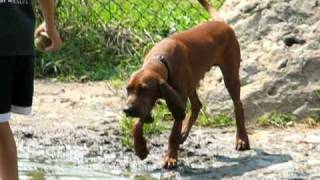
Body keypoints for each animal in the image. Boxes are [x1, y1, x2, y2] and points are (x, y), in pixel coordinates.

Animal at [123, 0, 250, 169]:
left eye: (143, 89)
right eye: (128, 89)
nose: (127, 110)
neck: (160, 60)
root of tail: (222, 23)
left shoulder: (176, 100)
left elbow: (172, 133)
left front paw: (170, 157)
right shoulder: (154, 100)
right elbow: (137, 124)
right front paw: (140, 149)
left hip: (230, 76)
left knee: (238, 105)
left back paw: (242, 139)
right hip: (191, 84)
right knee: (196, 106)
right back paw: (183, 134)